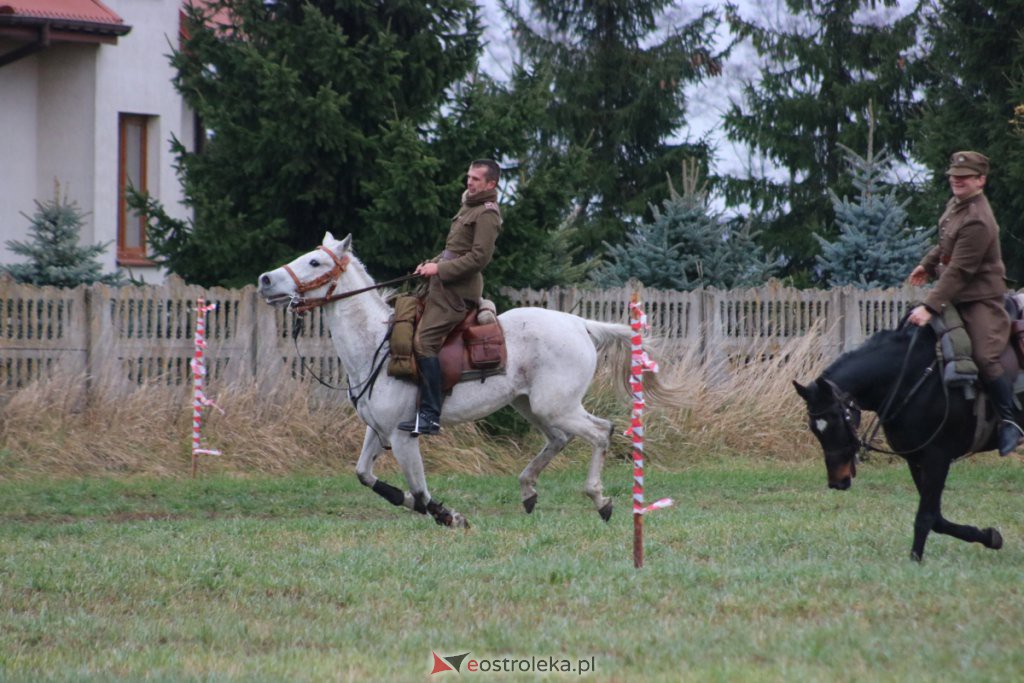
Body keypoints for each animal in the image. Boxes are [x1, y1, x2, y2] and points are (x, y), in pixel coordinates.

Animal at [258, 232, 679, 528]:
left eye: (314, 261)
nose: (264, 279)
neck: (376, 345)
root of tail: (579, 323)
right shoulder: (376, 431)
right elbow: (365, 475)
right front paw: (420, 507)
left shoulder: (402, 435)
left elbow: (420, 493)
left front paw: (450, 516)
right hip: (533, 406)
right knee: (562, 438)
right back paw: (528, 490)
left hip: (555, 406)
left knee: (600, 432)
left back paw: (599, 499)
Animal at [794, 325, 1003, 561]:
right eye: (814, 428)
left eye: (837, 421)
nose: (837, 482)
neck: (911, 381)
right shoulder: (917, 461)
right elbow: (937, 519)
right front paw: (988, 536)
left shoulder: (937, 458)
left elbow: (925, 516)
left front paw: (915, 559)